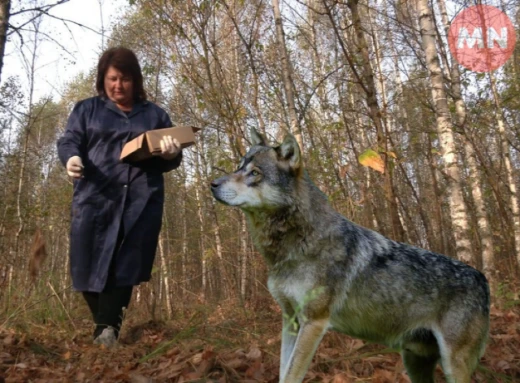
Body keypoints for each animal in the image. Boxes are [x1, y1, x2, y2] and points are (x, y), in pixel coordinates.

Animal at [209, 130, 490, 383]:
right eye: (238, 166)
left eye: (254, 173)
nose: (212, 184)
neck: (294, 245)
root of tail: (482, 278)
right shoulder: (290, 321)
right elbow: (283, 372)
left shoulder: (314, 323)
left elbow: (291, 375)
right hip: (413, 362)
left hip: (452, 365)